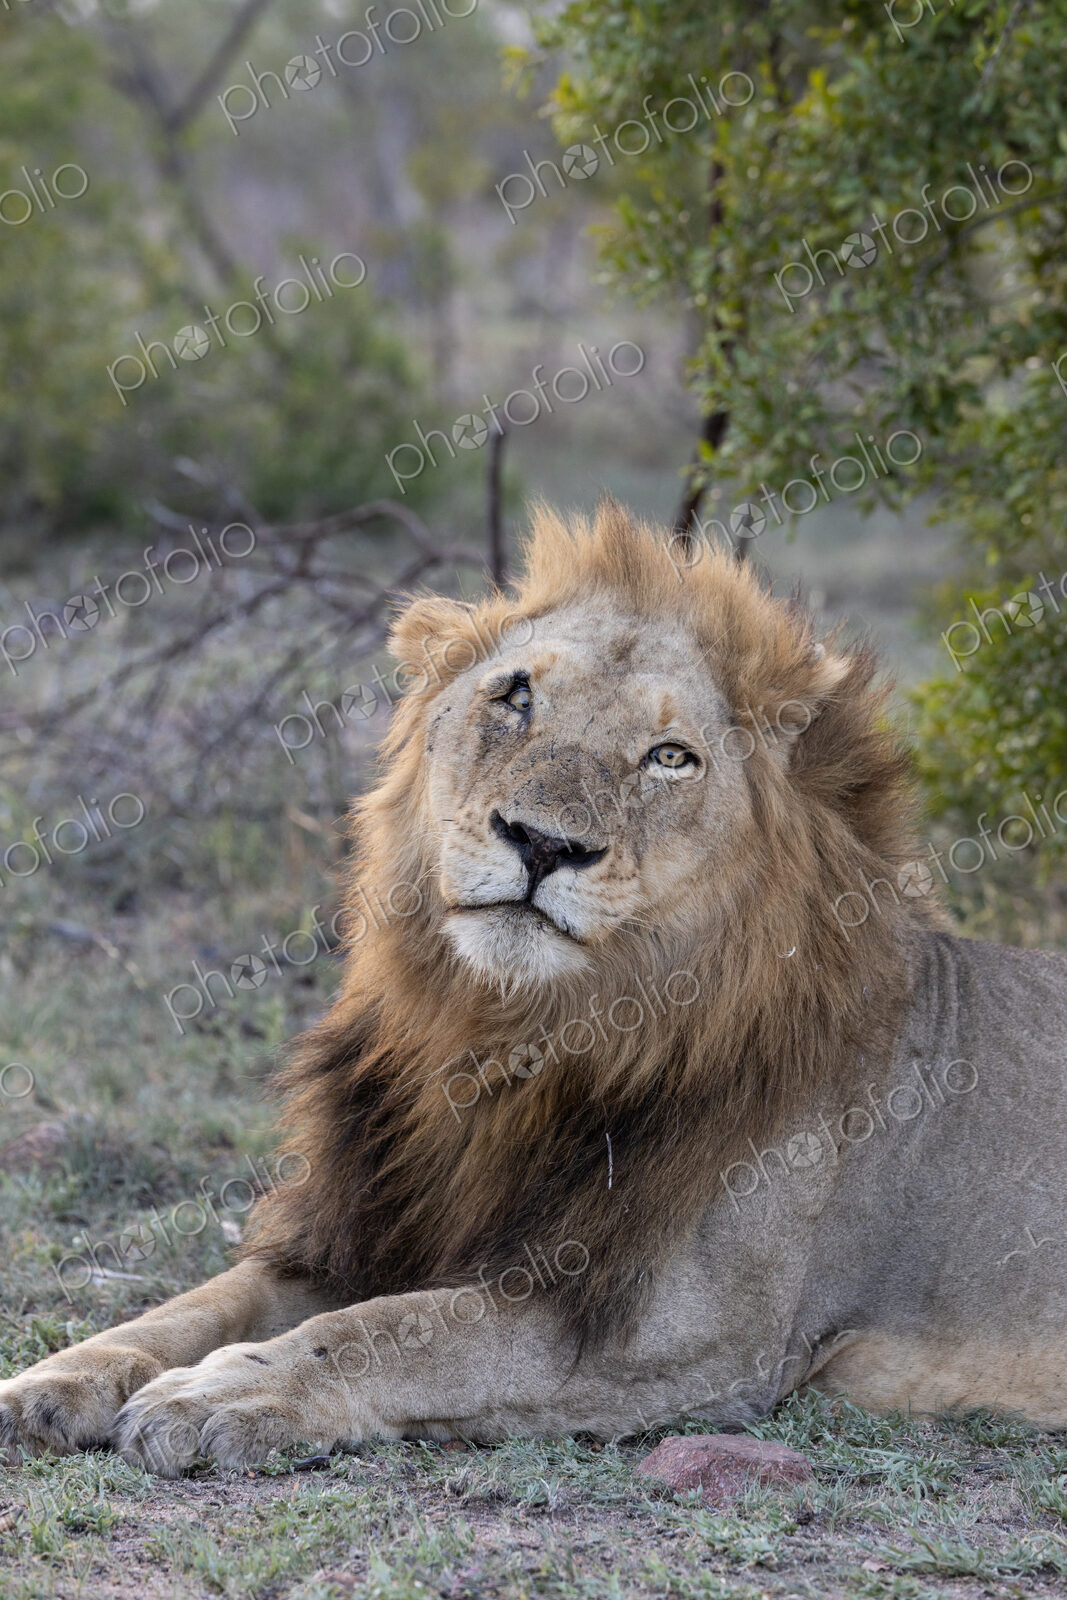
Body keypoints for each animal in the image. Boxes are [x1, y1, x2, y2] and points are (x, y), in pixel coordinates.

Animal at [2, 501, 1064, 1476]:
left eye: (669, 757)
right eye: (513, 698)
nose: (543, 843)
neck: (507, 1041)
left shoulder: (679, 1333)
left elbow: (397, 1332)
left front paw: (225, 1390)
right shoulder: (367, 1226)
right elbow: (199, 1302)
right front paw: (54, 1379)